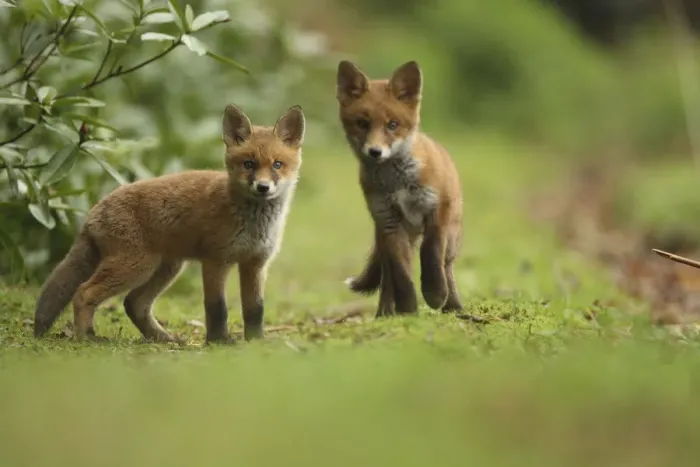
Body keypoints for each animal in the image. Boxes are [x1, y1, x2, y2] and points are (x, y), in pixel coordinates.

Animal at [33, 104, 305, 343]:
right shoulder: (216, 260)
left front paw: (256, 342)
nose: (263, 187)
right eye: (249, 164)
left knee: (134, 303)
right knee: (83, 292)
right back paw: (86, 337)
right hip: (134, 266)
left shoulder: (255, 264)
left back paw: (163, 338)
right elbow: (217, 308)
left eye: (277, 165)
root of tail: (93, 210)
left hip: (165, 267)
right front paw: (219, 342)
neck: (253, 223)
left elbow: (255, 309)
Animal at [336, 60, 464, 317]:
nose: (375, 152)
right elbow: (402, 276)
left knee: (447, 267)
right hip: (387, 238)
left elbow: (431, 254)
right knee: (387, 279)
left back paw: (453, 305)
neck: (398, 183)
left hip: (451, 235)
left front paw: (435, 294)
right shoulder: (390, 222)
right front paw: (408, 311)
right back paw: (384, 313)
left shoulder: (436, 211)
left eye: (392, 125)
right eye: (362, 123)